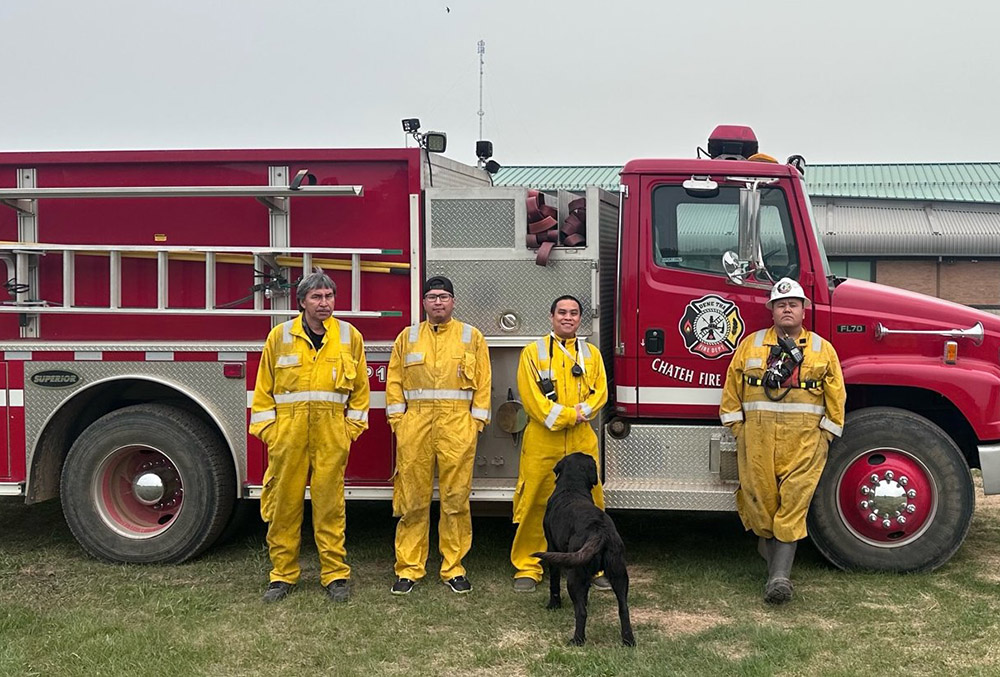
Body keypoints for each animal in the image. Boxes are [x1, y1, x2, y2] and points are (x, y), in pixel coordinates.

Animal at [532, 452, 632, 648]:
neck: (572, 487)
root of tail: (599, 530)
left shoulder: (552, 547)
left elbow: (554, 582)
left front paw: (553, 605)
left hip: (574, 575)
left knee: (581, 612)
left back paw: (577, 640)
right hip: (619, 574)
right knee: (623, 609)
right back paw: (628, 641)